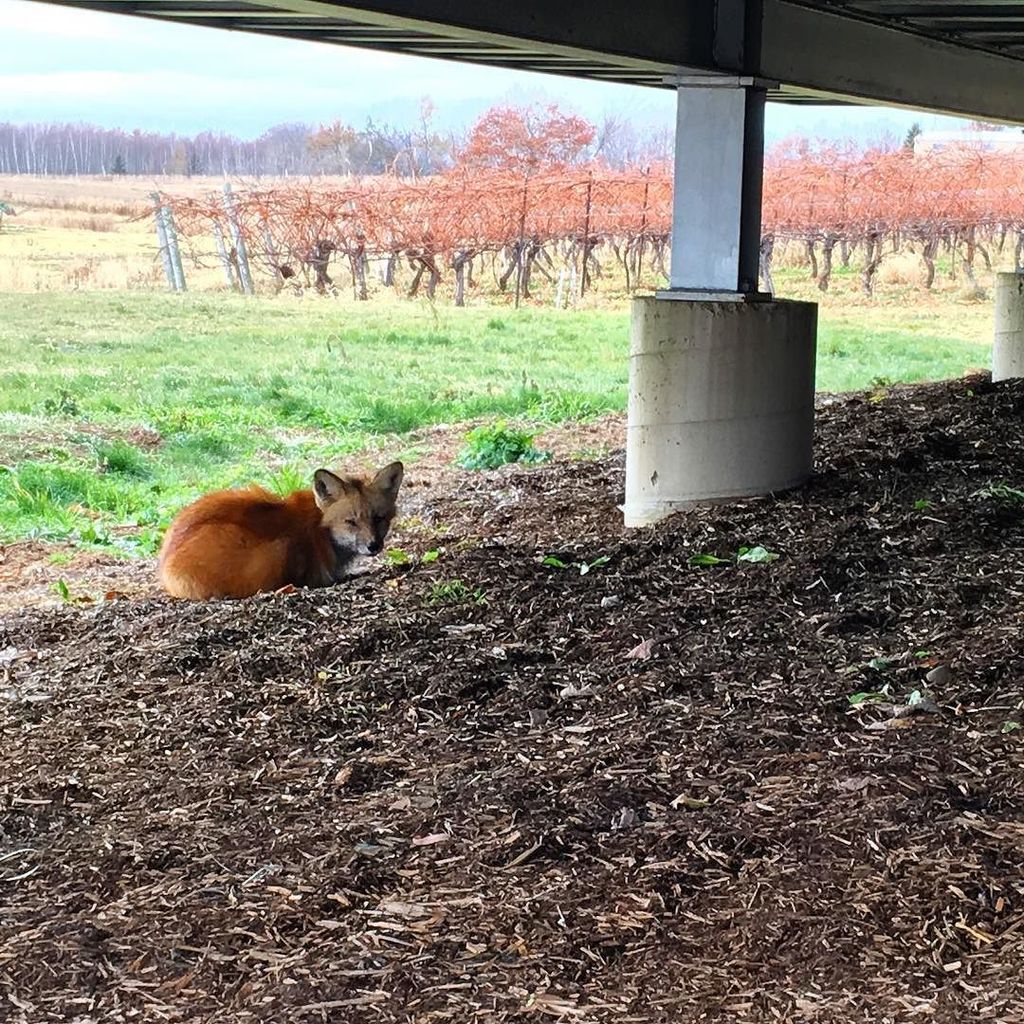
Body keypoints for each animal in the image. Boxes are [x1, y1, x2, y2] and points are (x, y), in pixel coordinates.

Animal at [158, 461, 404, 600]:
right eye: (351, 522)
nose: (373, 545)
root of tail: (166, 563)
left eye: (378, 519)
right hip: (280, 549)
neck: (320, 528)